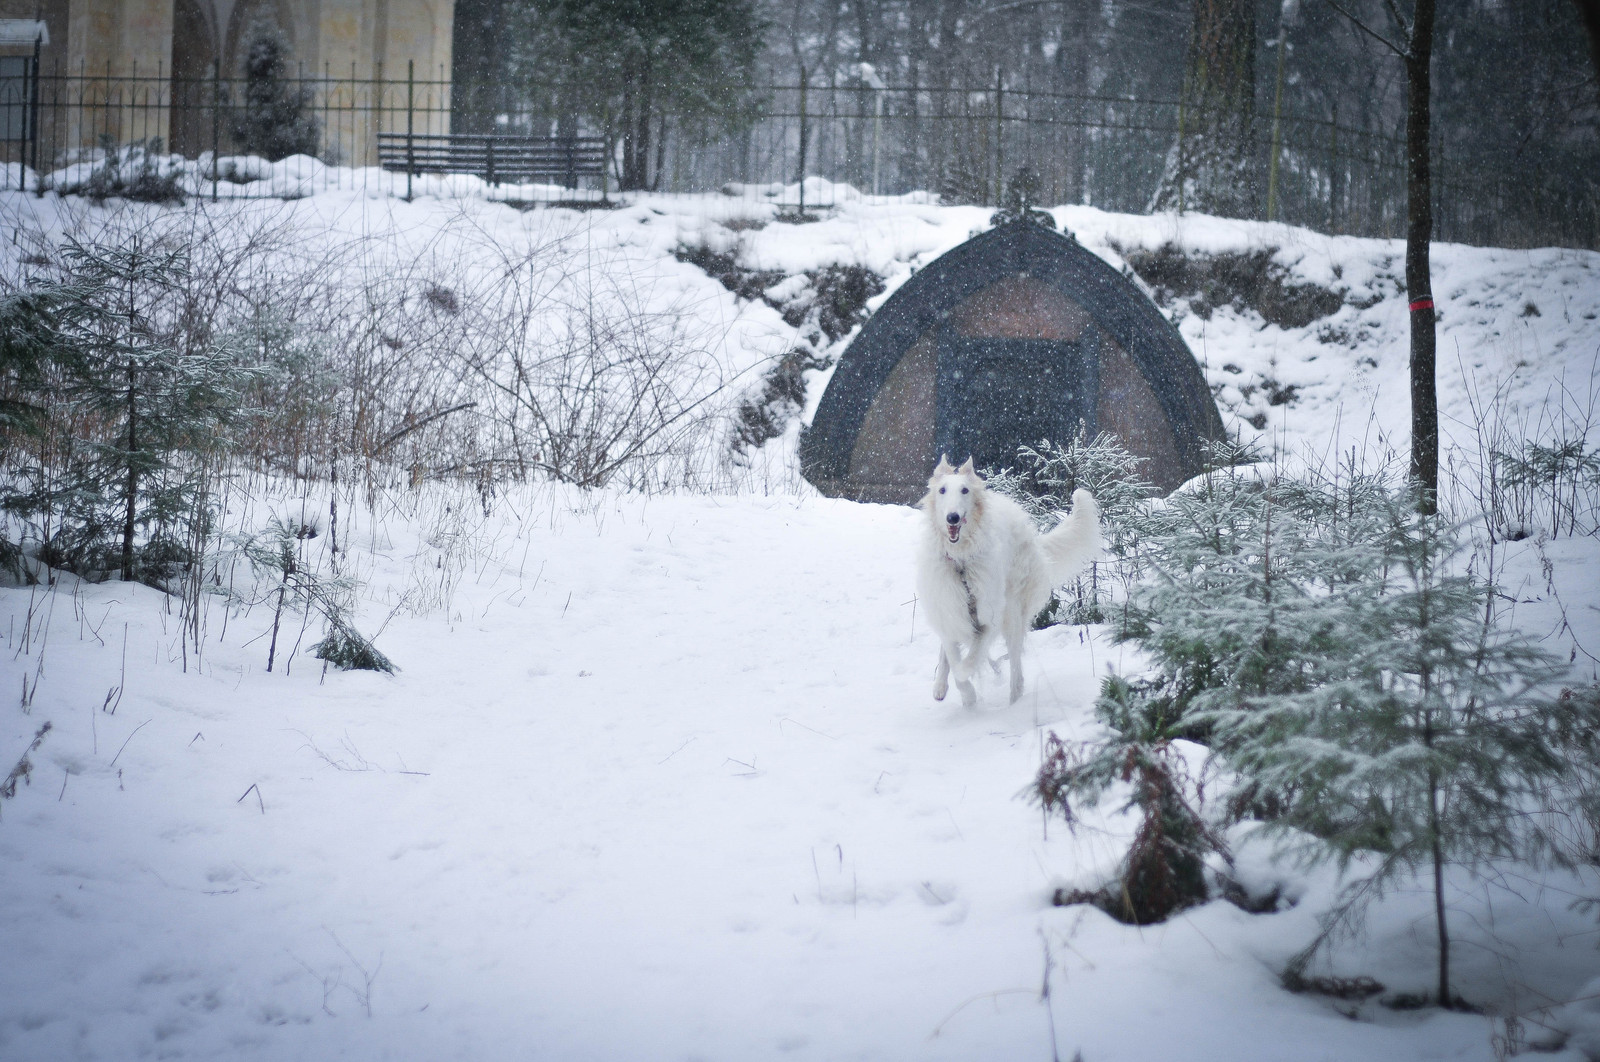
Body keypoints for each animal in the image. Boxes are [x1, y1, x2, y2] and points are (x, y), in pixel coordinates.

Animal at [915, 454, 1100, 703]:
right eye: (942, 490)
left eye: (965, 490)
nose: (952, 518)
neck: (961, 563)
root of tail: (1032, 535)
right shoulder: (949, 610)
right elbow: (954, 658)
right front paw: (962, 694)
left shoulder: (987, 620)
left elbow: (965, 666)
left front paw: (971, 693)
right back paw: (941, 686)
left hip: (1012, 608)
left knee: (1015, 665)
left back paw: (1014, 701)